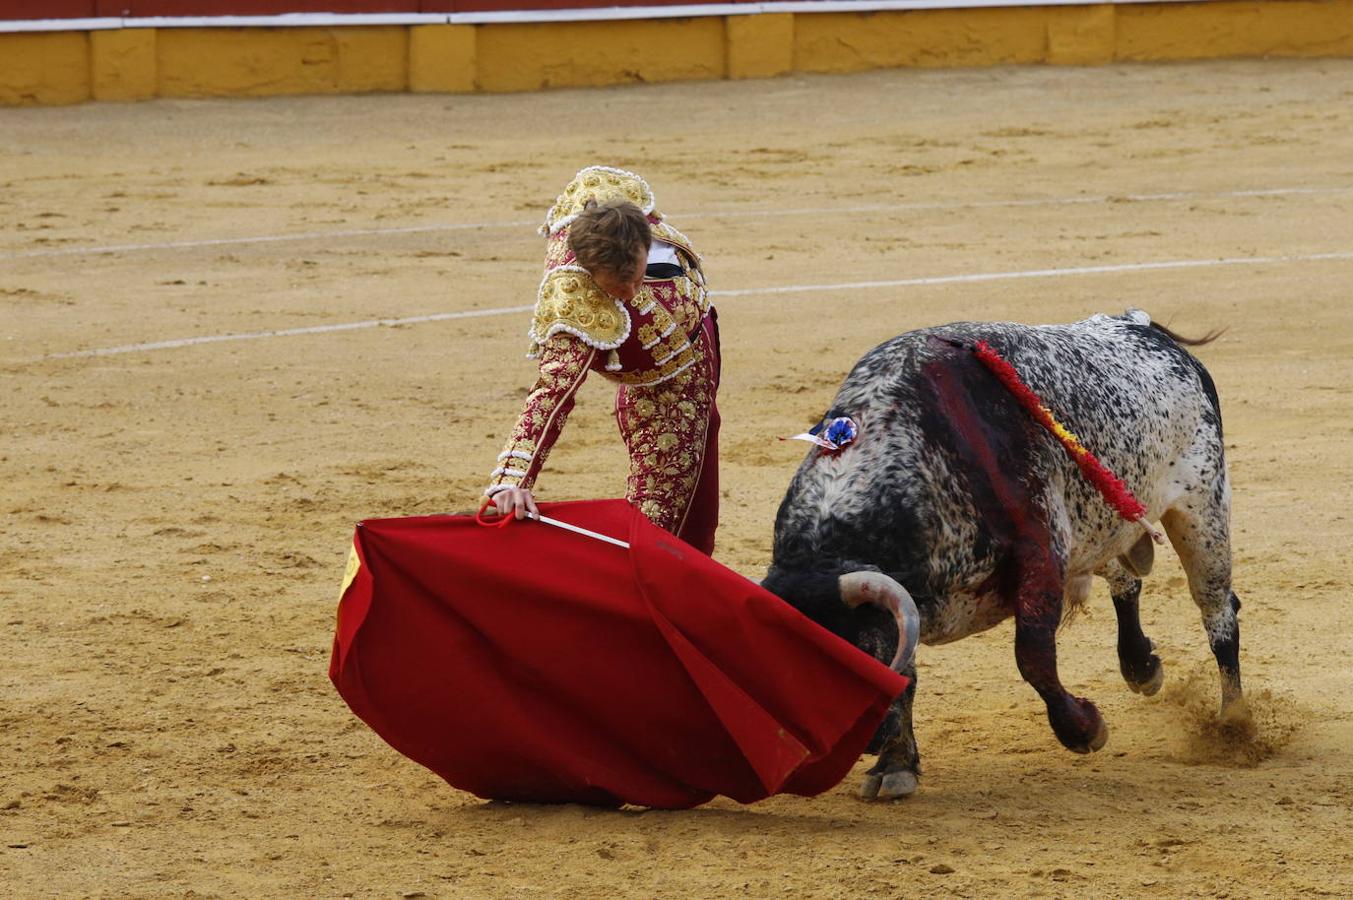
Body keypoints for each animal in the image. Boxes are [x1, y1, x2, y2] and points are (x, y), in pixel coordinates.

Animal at [757, 305, 1239, 795]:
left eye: (849, 657)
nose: (861, 744)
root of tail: (1135, 323)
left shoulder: (1042, 550)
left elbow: (1033, 655)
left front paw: (1084, 728)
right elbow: (907, 673)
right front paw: (894, 765)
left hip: (1202, 507)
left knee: (1218, 609)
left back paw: (1234, 723)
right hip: (1102, 526)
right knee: (1126, 583)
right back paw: (1142, 666)